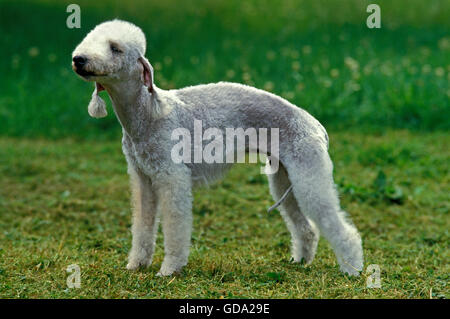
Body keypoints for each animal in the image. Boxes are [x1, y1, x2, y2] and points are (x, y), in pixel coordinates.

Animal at [72, 19, 364, 278]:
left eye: (115, 48)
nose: (79, 59)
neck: (147, 112)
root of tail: (315, 124)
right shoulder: (143, 178)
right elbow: (143, 224)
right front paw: (136, 265)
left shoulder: (172, 177)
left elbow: (175, 226)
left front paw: (169, 269)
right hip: (284, 177)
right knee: (307, 228)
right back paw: (301, 260)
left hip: (309, 173)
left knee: (339, 225)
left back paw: (352, 269)